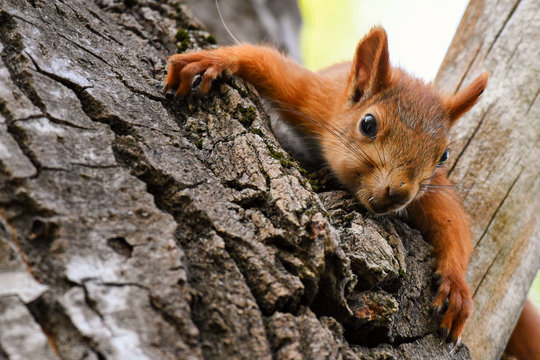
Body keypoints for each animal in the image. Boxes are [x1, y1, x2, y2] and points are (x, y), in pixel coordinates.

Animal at [162, 27, 488, 344]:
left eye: (444, 156)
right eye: (368, 124)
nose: (398, 192)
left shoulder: (431, 191)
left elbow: (453, 224)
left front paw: (456, 286)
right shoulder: (313, 97)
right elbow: (265, 62)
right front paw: (210, 60)